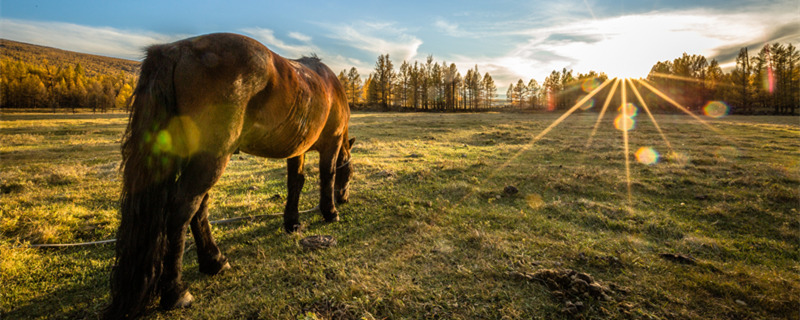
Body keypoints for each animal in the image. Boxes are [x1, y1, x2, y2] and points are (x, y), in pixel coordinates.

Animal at [104, 32, 354, 318]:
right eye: (350, 174)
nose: (344, 199)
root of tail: (176, 49)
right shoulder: (332, 143)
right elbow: (328, 175)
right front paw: (330, 212)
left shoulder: (296, 149)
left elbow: (295, 184)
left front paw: (292, 223)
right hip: (212, 158)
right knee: (182, 209)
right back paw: (176, 291)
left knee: (198, 207)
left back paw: (213, 261)